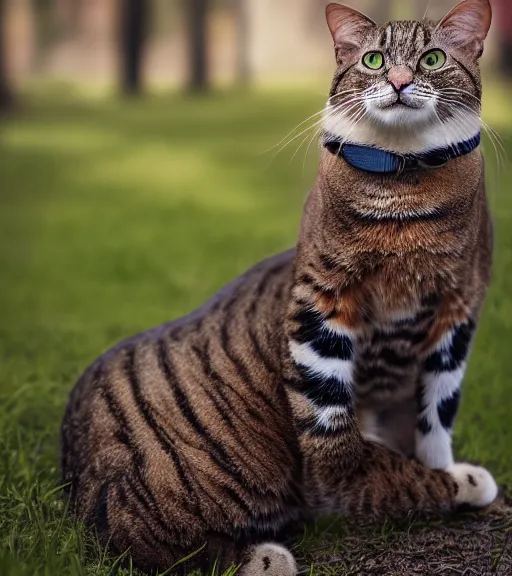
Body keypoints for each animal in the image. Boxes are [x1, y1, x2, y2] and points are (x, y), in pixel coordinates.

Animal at [59, 1, 496, 576]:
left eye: (432, 58)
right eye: (374, 60)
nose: (400, 80)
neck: (405, 184)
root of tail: (76, 479)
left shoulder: (456, 317)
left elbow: (435, 416)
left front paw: (439, 461)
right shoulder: (324, 302)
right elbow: (361, 456)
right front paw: (456, 481)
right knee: (160, 546)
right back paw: (266, 555)